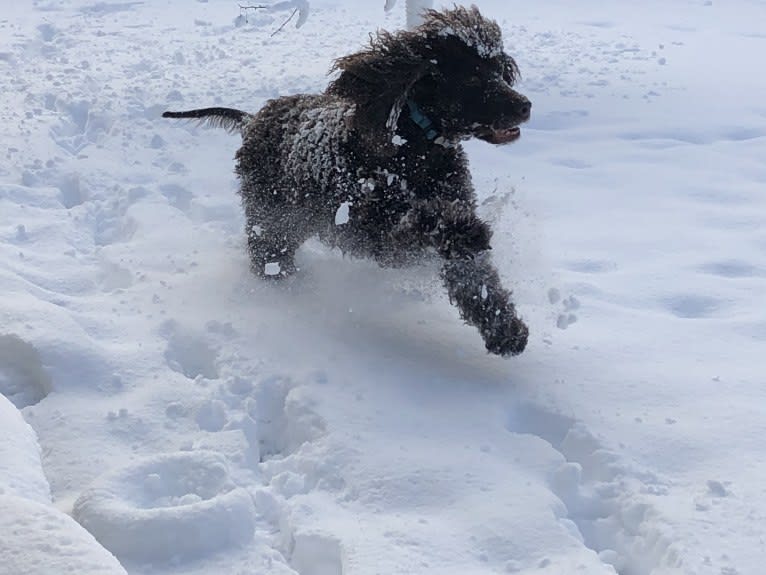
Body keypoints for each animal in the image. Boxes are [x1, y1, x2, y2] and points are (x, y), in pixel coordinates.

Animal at [164, 5, 532, 356]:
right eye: (471, 77)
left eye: (498, 69)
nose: (525, 106)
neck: (413, 150)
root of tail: (255, 119)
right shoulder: (374, 230)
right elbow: (428, 218)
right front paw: (467, 229)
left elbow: (477, 281)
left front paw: (505, 330)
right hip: (272, 214)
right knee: (266, 251)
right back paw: (281, 286)